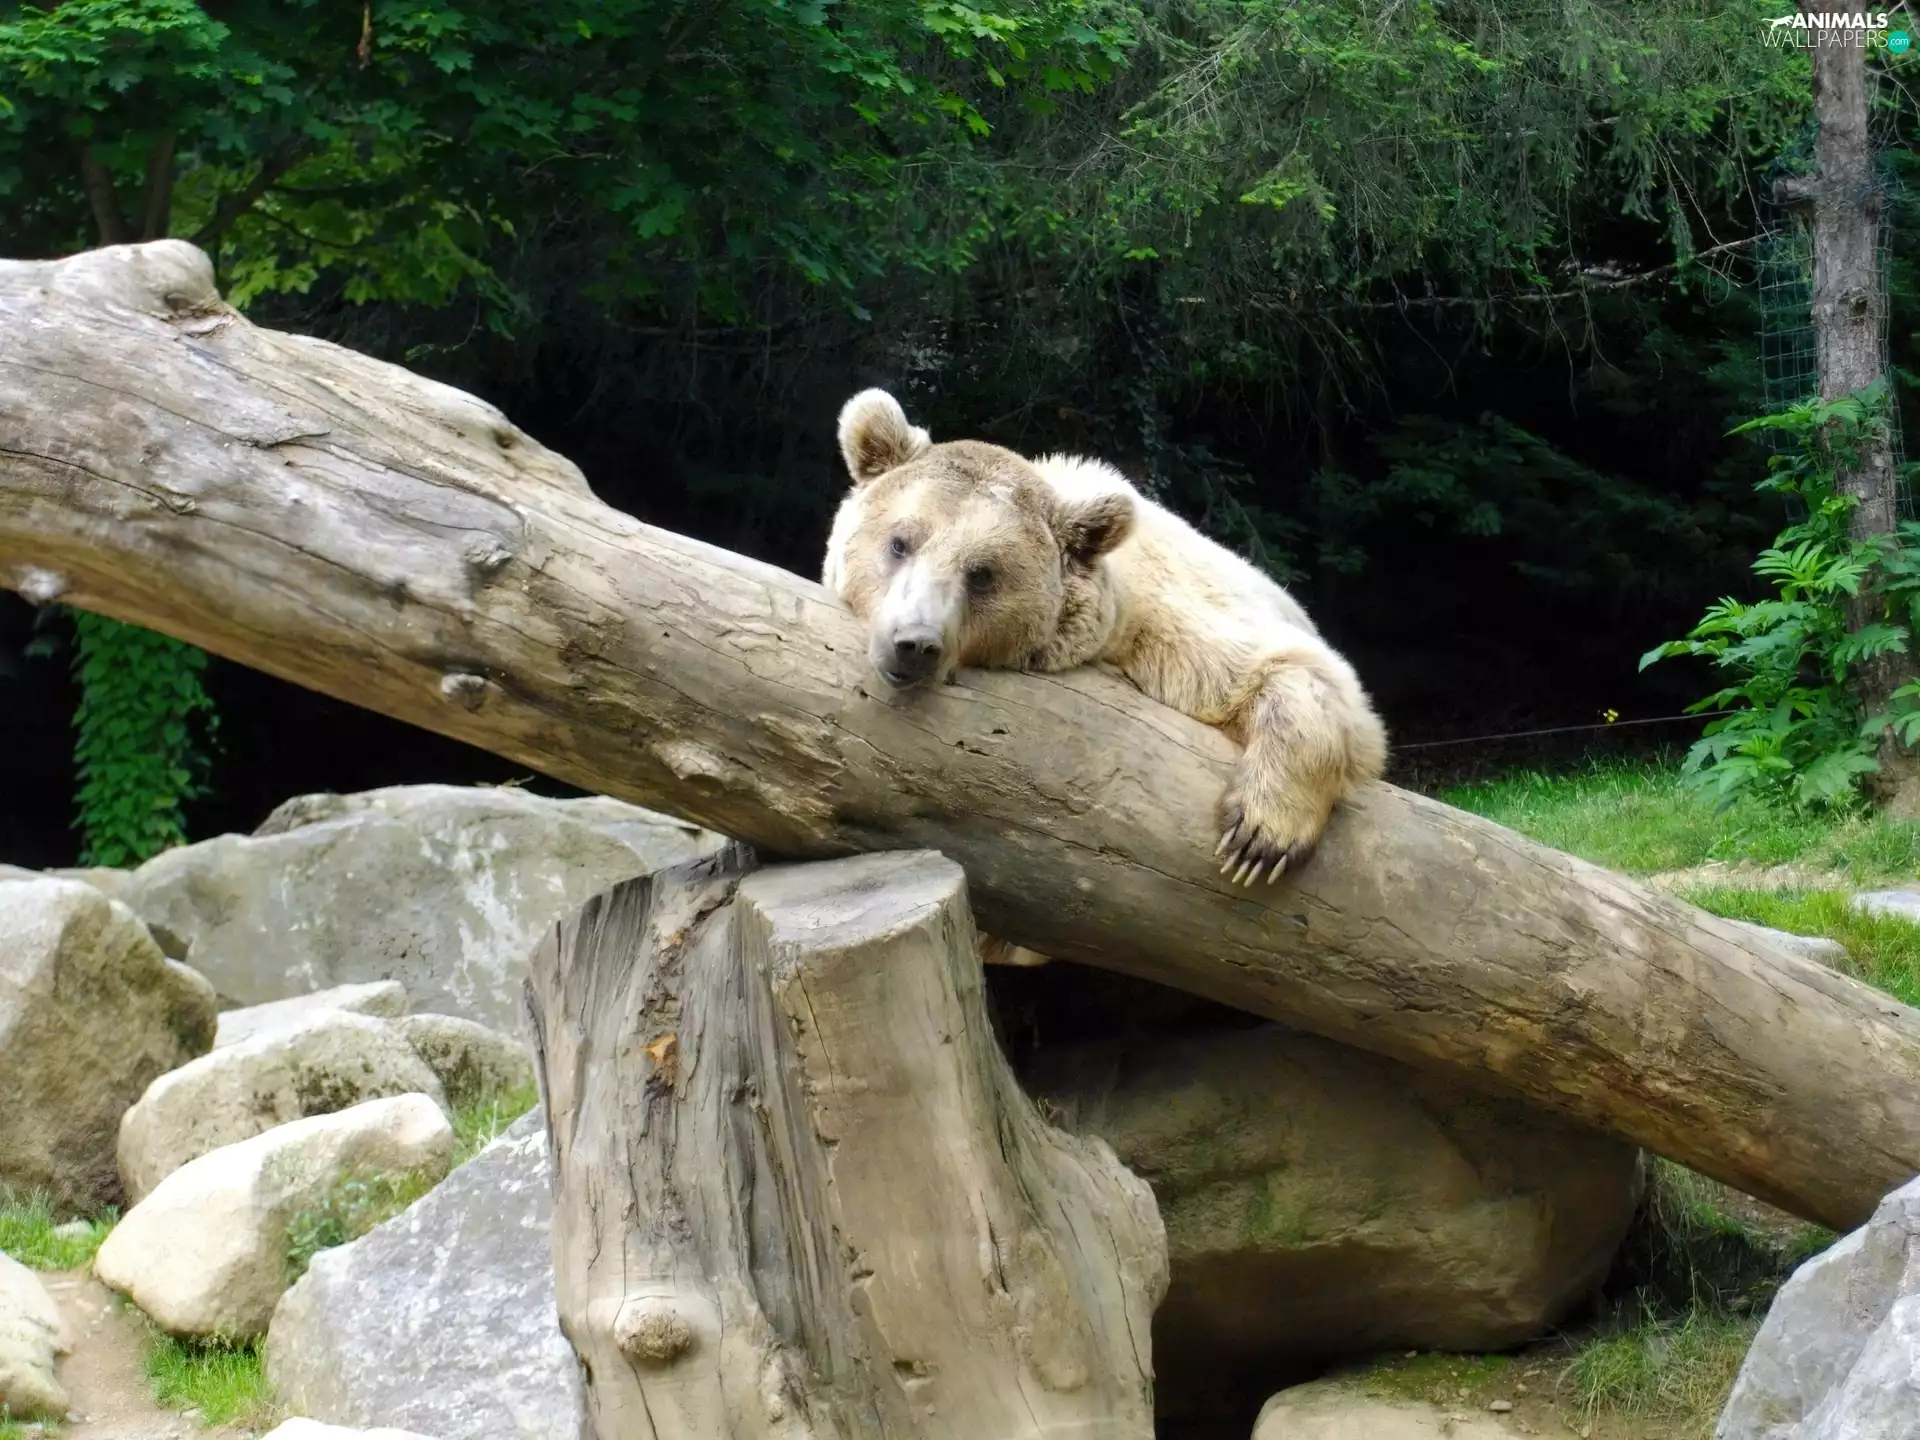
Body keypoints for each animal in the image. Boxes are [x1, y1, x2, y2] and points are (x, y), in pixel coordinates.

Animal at [822, 388, 1387, 950]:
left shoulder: (1172, 630)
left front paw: (1258, 837)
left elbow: (1307, 679)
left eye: (982, 574)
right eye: (900, 542)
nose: (914, 645)